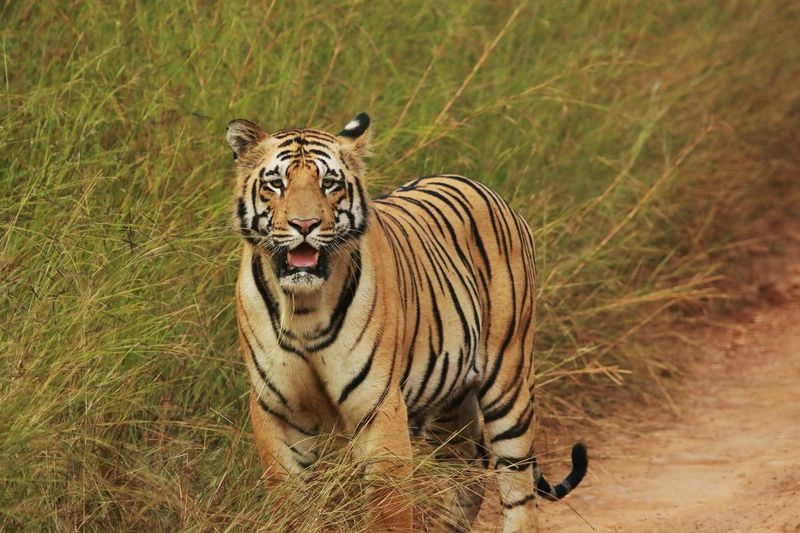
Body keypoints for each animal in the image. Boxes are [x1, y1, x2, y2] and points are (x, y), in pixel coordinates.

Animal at [225, 113, 588, 532]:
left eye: (329, 183)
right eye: (276, 183)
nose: (305, 224)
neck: (304, 308)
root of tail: (480, 185)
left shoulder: (379, 406)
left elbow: (387, 507)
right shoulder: (277, 411)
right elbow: (289, 505)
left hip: (509, 379)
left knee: (518, 489)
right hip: (450, 401)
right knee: (467, 473)